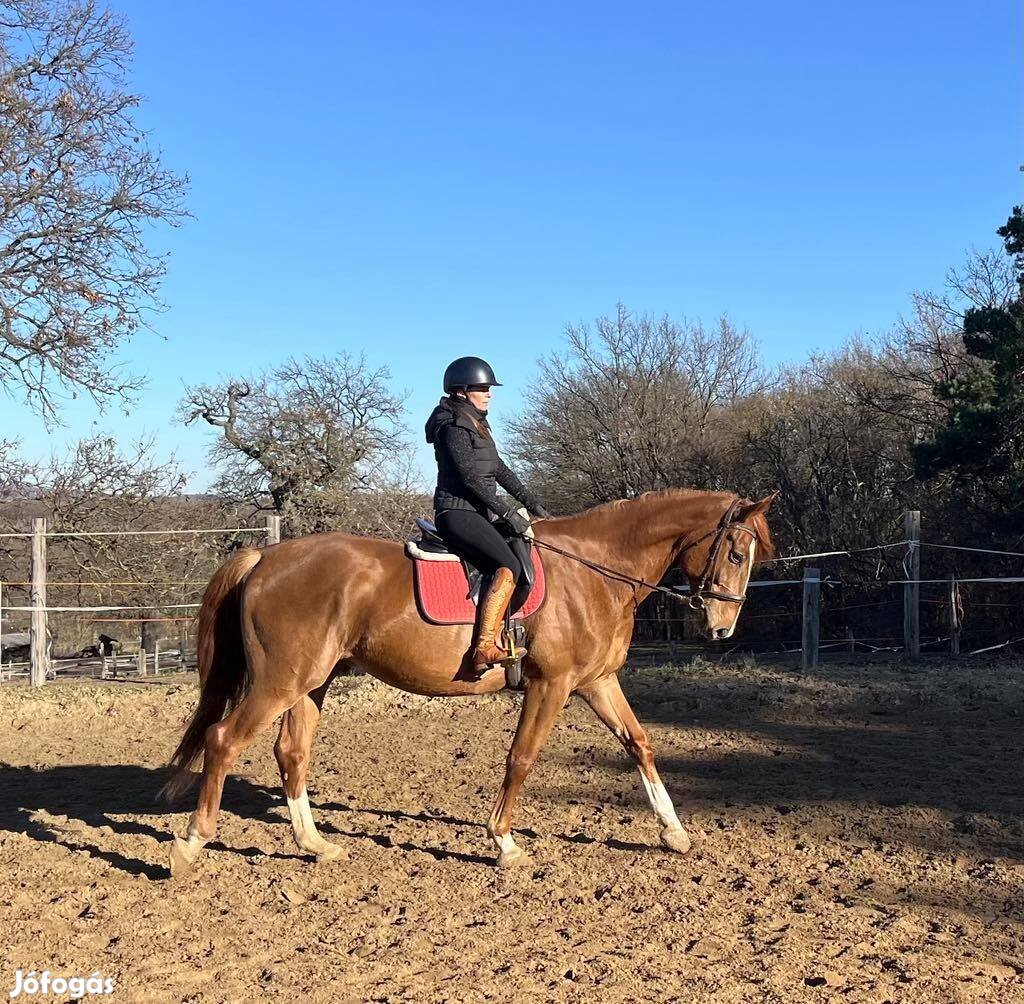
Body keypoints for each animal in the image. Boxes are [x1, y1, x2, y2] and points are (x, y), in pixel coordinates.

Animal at [163, 489, 774, 872]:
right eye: (735, 552)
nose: (722, 627)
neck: (594, 570)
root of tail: (266, 556)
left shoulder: (597, 681)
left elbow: (639, 743)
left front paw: (674, 832)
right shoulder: (551, 685)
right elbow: (521, 758)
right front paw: (504, 843)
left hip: (311, 682)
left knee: (290, 753)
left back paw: (315, 844)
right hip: (279, 682)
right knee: (223, 740)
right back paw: (192, 845)